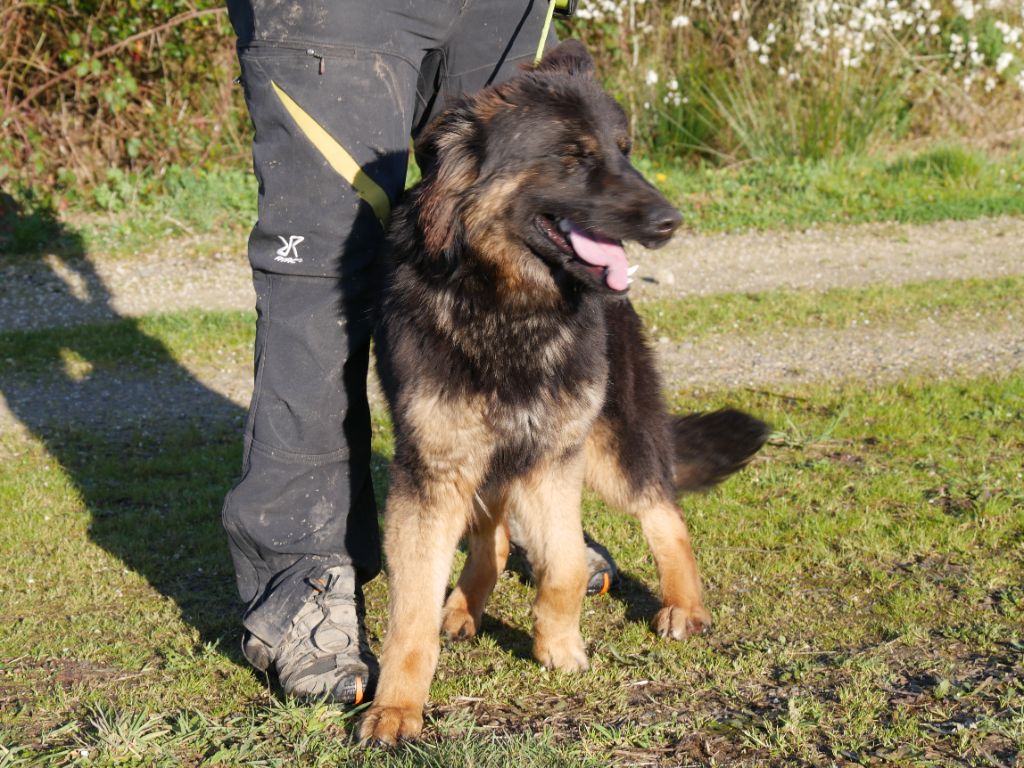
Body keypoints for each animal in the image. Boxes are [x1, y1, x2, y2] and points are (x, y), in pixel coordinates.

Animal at [356, 41, 765, 745]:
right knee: (492, 536)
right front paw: (398, 707)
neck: (509, 305)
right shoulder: (435, 475)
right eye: (573, 158)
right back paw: (464, 606)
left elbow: (568, 561)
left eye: (624, 150)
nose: (671, 222)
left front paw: (558, 645)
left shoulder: (553, 459)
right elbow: (410, 611)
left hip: (609, 448)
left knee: (665, 512)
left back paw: (684, 605)